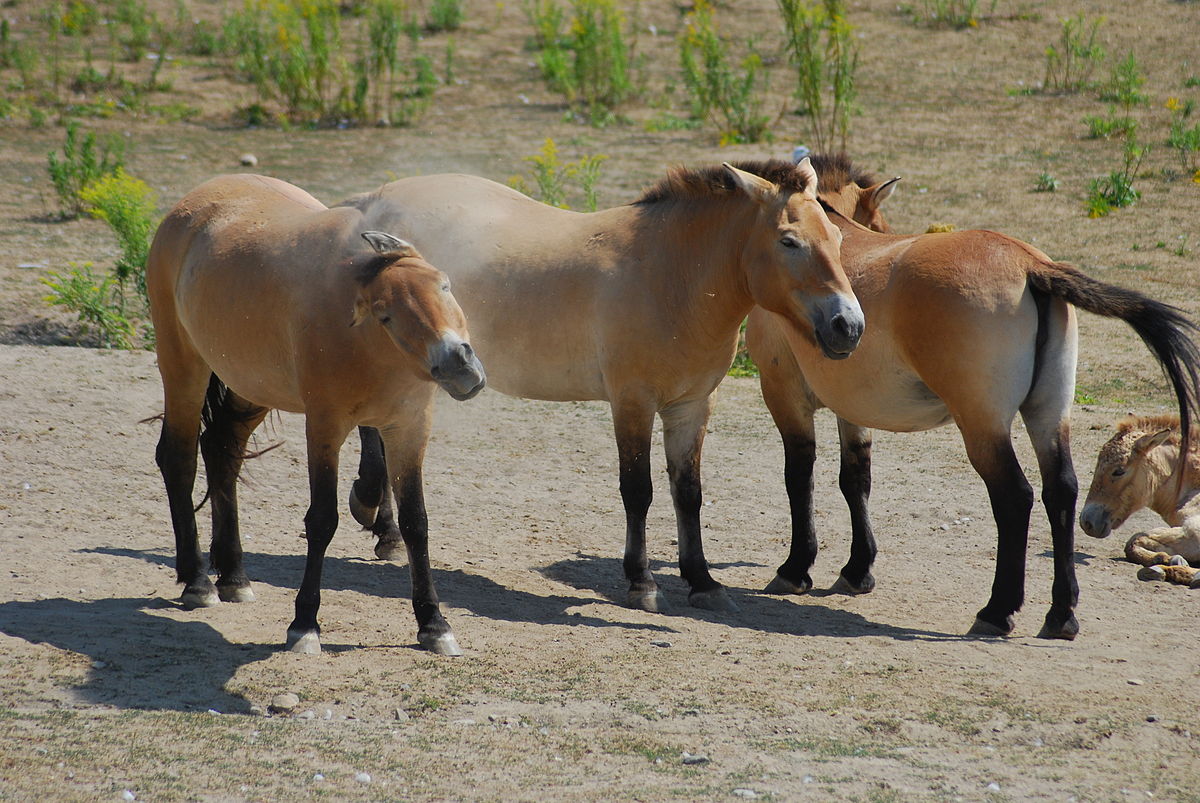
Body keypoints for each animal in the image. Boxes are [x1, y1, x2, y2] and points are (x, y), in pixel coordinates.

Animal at [147, 172, 484, 652]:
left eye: (445, 285)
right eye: (386, 315)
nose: (458, 365)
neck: (369, 347)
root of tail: (190, 206)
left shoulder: (409, 430)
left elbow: (416, 522)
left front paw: (433, 624)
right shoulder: (324, 427)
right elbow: (322, 519)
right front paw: (304, 624)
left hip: (253, 386)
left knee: (221, 449)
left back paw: (234, 576)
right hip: (183, 366)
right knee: (179, 458)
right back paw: (198, 581)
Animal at [340, 156, 864, 609]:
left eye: (837, 235)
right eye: (789, 241)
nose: (849, 326)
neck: (669, 276)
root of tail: (374, 202)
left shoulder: (691, 405)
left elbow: (688, 492)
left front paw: (702, 581)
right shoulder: (632, 402)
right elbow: (638, 490)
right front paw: (642, 583)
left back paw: (381, 525)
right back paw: (379, 519)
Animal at [1080, 417, 1200, 585]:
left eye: (1119, 471)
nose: (1086, 522)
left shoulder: (1193, 531)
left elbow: (1134, 540)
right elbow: (1136, 543)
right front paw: (1165, 559)